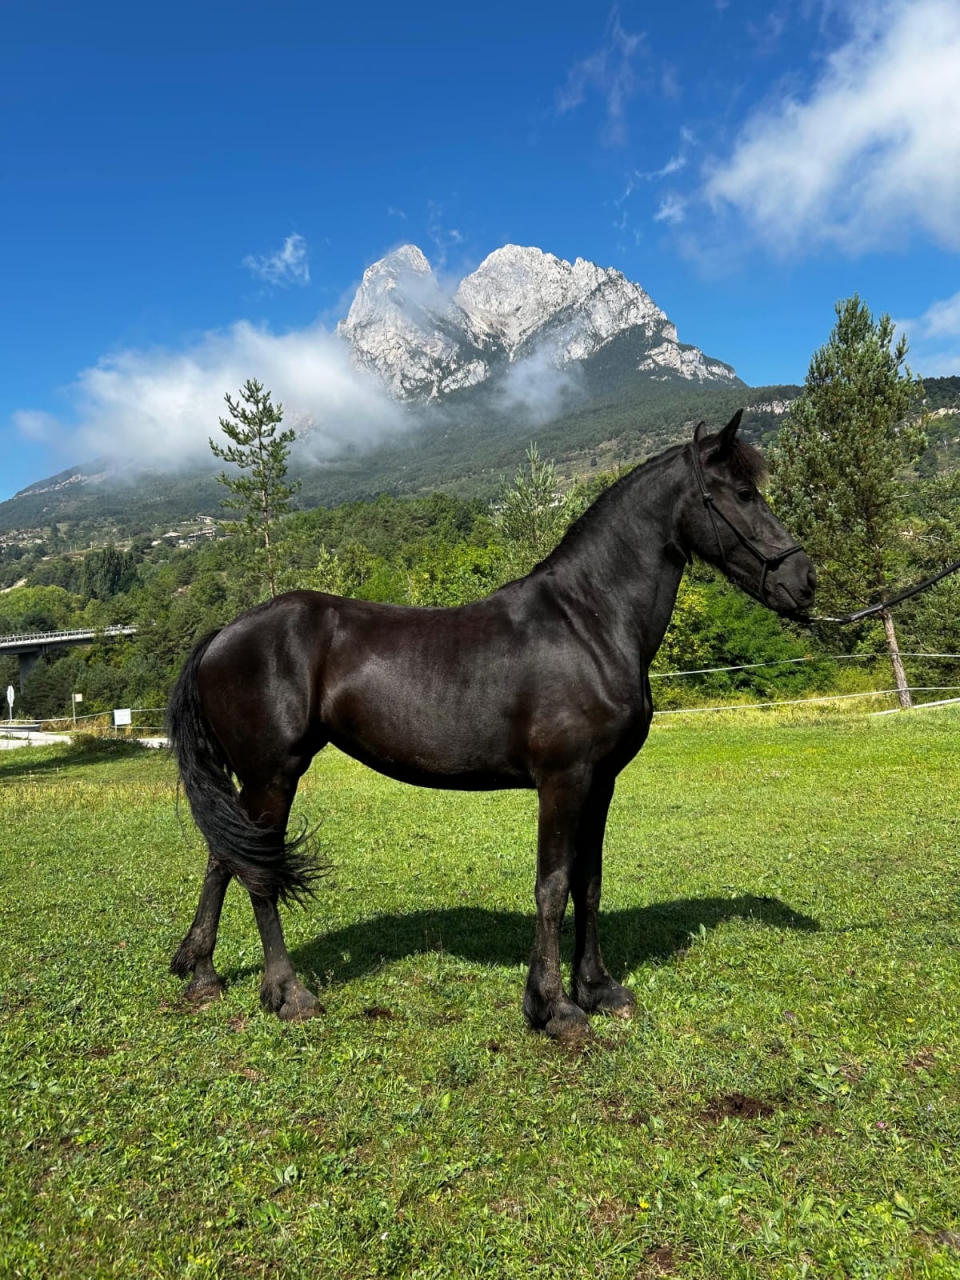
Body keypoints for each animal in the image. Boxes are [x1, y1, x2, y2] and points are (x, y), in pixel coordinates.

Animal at [167, 410, 815, 1039]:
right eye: (743, 493)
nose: (805, 580)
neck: (590, 622)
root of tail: (223, 635)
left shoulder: (600, 783)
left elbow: (589, 882)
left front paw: (600, 990)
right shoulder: (563, 781)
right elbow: (553, 886)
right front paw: (554, 1008)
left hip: (253, 783)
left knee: (225, 857)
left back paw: (202, 974)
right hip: (273, 776)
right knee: (257, 872)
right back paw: (289, 995)